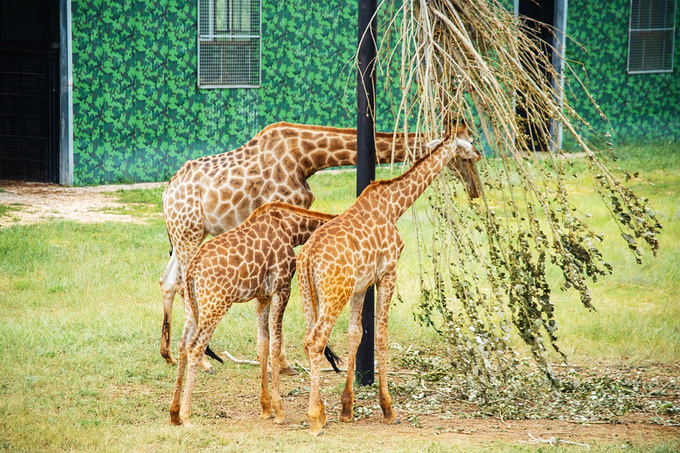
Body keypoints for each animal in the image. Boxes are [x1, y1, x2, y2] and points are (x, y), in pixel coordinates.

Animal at [170, 202, 338, 428]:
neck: (291, 230)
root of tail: (192, 271)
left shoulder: (262, 297)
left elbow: (262, 345)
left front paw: (266, 408)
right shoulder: (281, 288)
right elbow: (275, 345)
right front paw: (279, 411)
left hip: (193, 306)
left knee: (181, 344)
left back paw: (174, 414)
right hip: (215, 305)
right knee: (195, 346)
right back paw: (187, 417)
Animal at [294, 122, 480, 434]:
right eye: (470, 148)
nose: (475, 189)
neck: (395, 205)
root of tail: (307, 257)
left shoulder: (360, 285)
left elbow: (355, 334)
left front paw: (346, 408)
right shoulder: (388, 272)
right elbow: (381, 335)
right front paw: (388, 409)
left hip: (309, 294)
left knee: (309, 339)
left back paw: (319, 411)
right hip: (334, 294)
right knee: (316, 340)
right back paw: (314, 418)